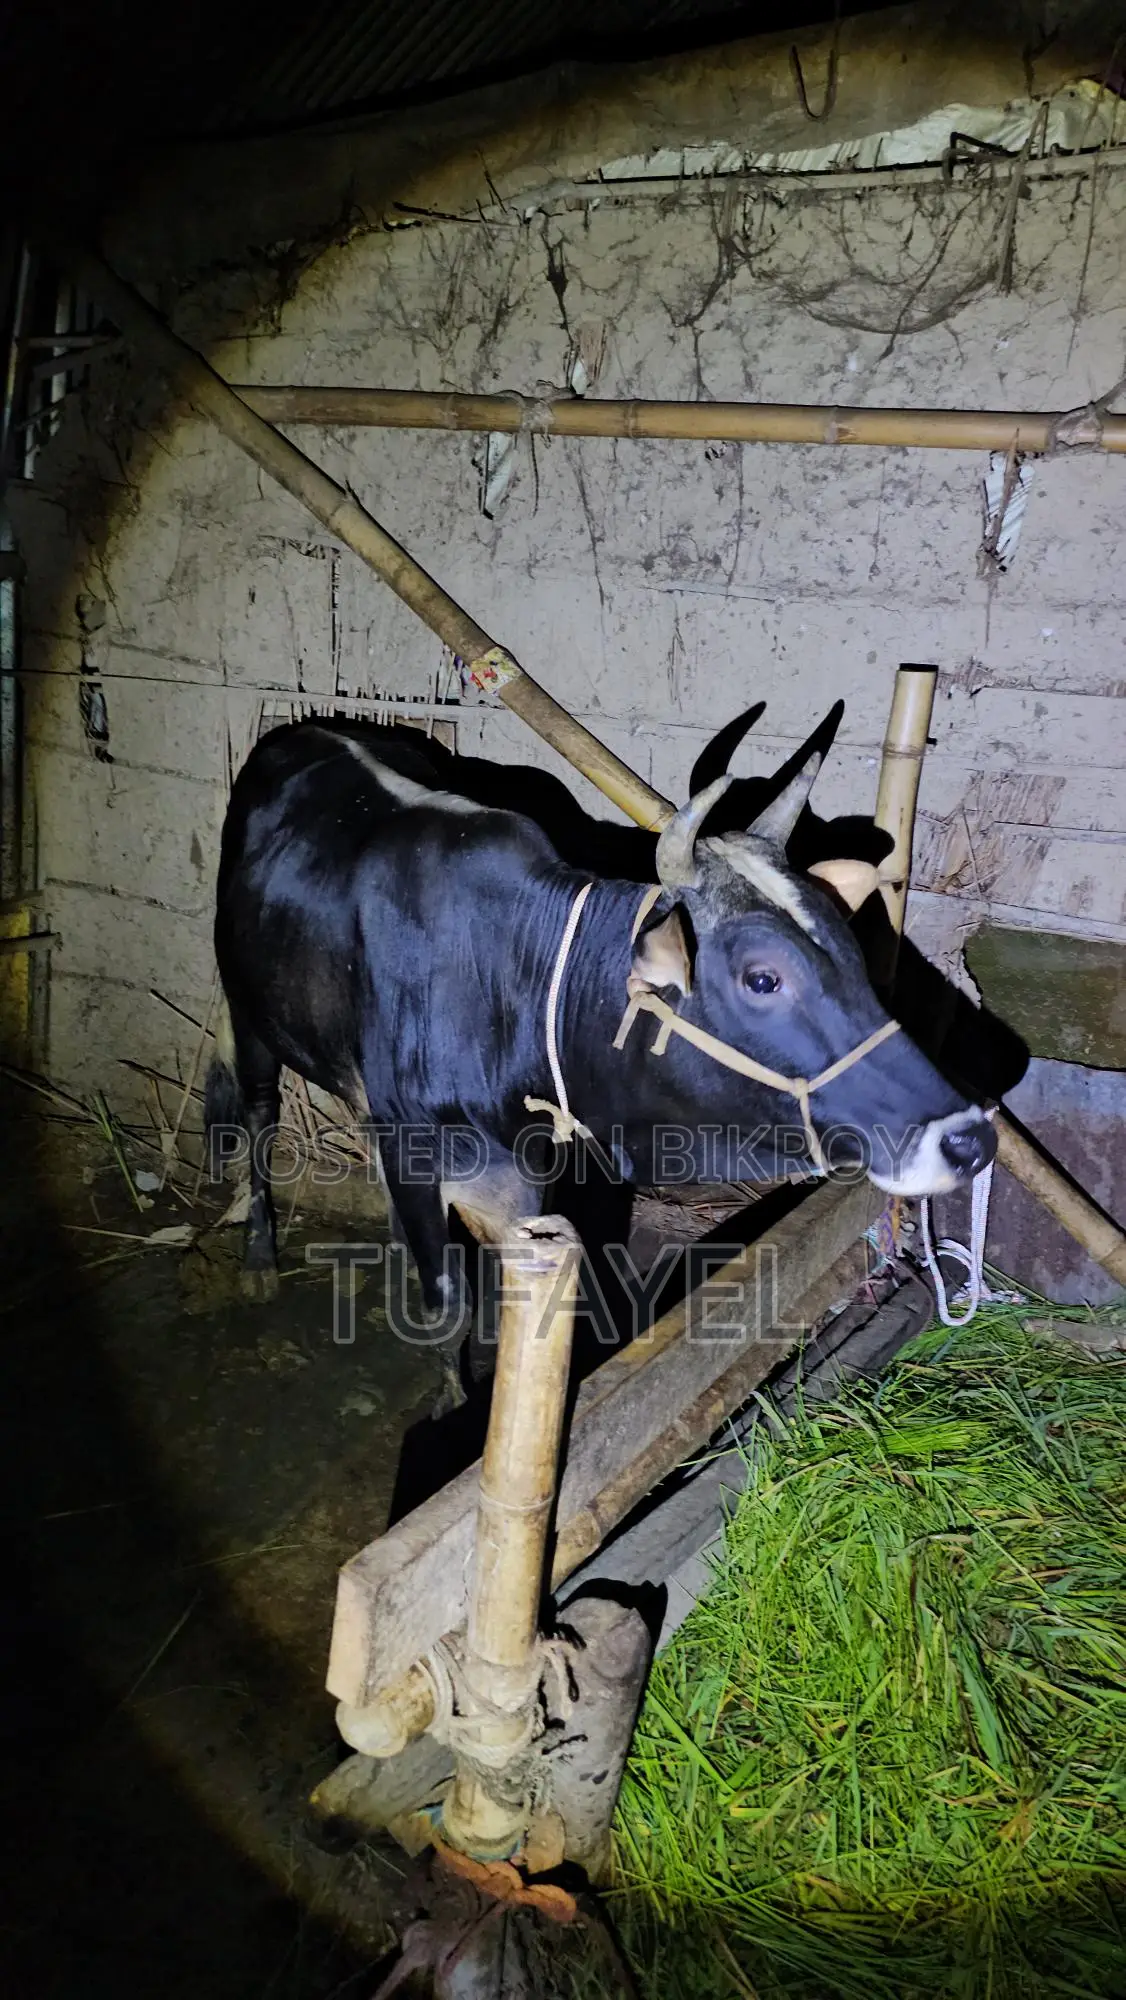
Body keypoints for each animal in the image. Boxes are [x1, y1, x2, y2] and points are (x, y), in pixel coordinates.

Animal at [205, 718, 995, 1402]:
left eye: (851, 947)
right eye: (763, 979)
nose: (971, 1139)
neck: (510, 980)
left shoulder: (521, 1167)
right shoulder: (411, 1141)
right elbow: (448, 1303)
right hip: (249, 1013)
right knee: (257, 1113)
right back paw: (258, 1259)